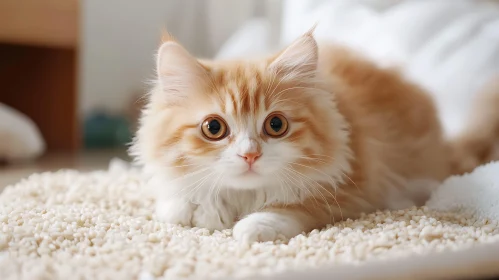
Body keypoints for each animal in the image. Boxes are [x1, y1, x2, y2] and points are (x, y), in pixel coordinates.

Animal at [130, 29, 480, 243]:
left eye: (276, 125)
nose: (250, 154)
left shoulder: (354, 190)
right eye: (213, 128)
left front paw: (251, 225)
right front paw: (204, 208)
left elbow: (292, 208)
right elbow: (176, 205)